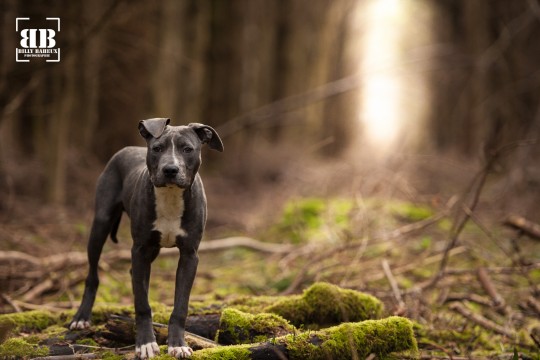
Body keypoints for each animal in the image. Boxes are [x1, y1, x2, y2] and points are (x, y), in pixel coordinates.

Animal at [70, 118, 224, 358]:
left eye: (188, 149)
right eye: (157, 149)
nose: (170, 169)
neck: (170, 195)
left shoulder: (189, 255)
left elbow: (180, 306)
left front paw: (177, 344)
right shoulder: (140, 249)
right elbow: (142, 304)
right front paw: (145, 343)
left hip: (152, 249)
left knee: (133, 274)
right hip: (101, 225)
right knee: (93, 275)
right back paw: (81, 317)